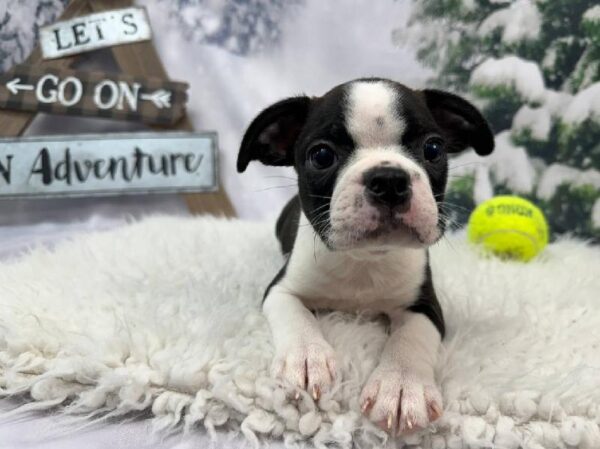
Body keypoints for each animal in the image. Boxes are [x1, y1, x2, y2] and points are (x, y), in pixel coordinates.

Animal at [237, 79, 494, 436]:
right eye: (321, 155)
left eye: (433, 149)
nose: (389, 180)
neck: (365, 260)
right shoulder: (281, 289)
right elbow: (296, 315)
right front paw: (307, 357)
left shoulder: (425, 303)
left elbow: (411, 336)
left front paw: (401, 385)